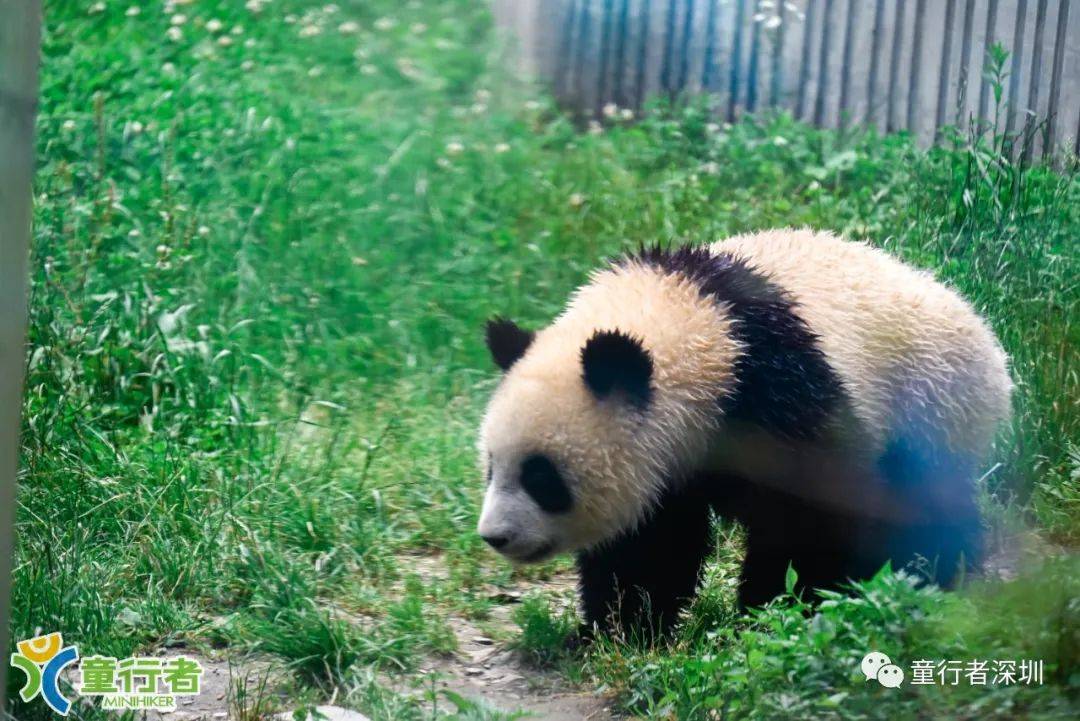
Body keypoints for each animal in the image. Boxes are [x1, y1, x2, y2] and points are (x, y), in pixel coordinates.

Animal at [477, 229, 1006, 634]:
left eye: (542, 477)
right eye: (490, 467)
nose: (495, 536)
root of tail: (985, 336)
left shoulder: (780, 390)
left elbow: (812, 516)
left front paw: (783, 611)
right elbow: (648, 544)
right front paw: (623, 628)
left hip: (930, 401)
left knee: (924, 504)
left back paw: (931, 577)